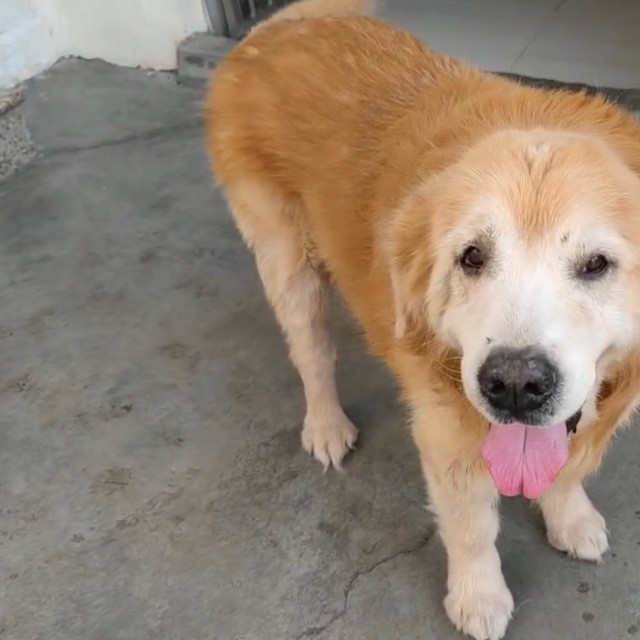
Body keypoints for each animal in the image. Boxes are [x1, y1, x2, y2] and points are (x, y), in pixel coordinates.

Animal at [204, 1, 640, 638]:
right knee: (313, 353)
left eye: (597, 264)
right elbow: (471, 525)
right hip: (286, 258)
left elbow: (568, 469)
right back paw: (327, 425)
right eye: (473, 256)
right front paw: (478, 595)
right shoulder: (443, 424)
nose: (514, 385)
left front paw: (570, 516)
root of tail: (287, 21)